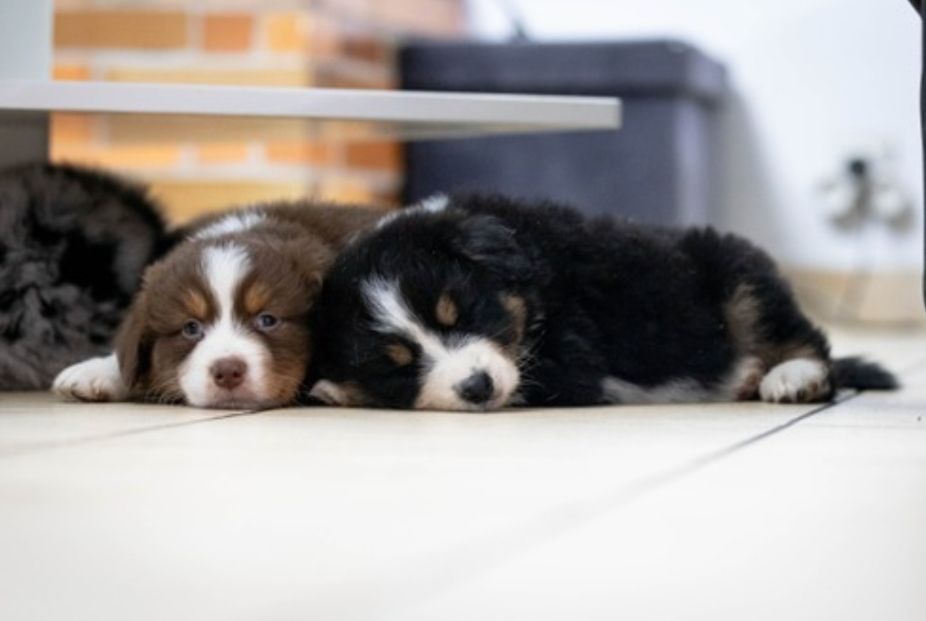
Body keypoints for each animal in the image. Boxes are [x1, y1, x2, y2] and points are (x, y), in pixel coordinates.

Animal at [307, 194, 897, 410]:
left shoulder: (570, 360)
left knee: (806, 340)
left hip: (740, 274)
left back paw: (789, 378)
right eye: (396, 363)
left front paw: (334, 389)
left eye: (463, 312)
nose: (477, 387)